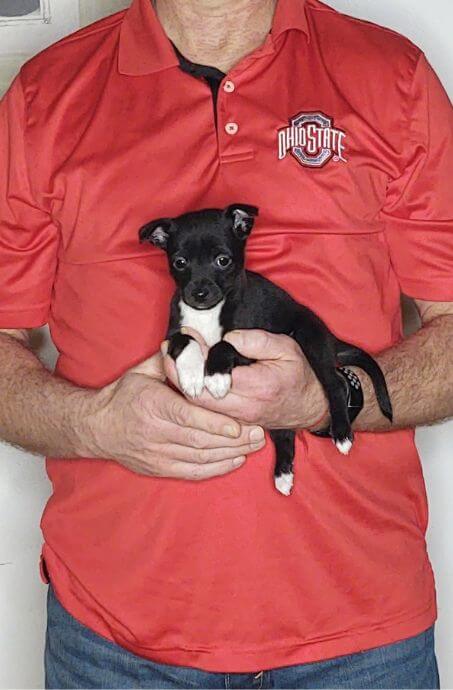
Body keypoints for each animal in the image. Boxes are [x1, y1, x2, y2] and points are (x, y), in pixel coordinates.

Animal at [139, 204, 392, 494]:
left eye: (223, 260)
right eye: (179, 262)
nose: (199, 293)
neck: (208, 313)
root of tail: (331, 338)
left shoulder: (251, 342)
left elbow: (224, 344)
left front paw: (214, 376)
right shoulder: (172, 334)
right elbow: (185, 340)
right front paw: (192, 374)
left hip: (311, 339)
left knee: (335, 383)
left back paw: (341, 434)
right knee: (285, 431)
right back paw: (283, 473)